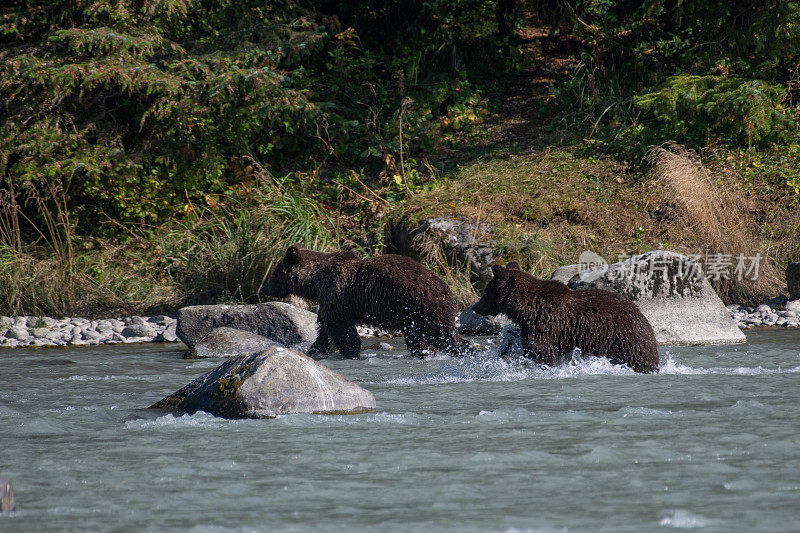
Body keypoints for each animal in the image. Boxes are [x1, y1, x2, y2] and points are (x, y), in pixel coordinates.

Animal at [266, 244, 472, 358]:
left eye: (275, 273)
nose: (266, 288)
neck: (315, 280)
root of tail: (447, 289)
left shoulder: (337, 295)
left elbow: (341, 329)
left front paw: (350, 352)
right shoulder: (328, 303)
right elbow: (325, 330)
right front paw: (316, 349)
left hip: (423, 306)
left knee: (441, 334)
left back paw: (465, 349)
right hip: (412, 317)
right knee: (420, 339)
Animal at [476, 260, 656, 372]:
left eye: (486, 291)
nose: (476, 308)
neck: (525, 308)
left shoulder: (545, 326)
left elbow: (541, 353)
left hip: (625, 340)